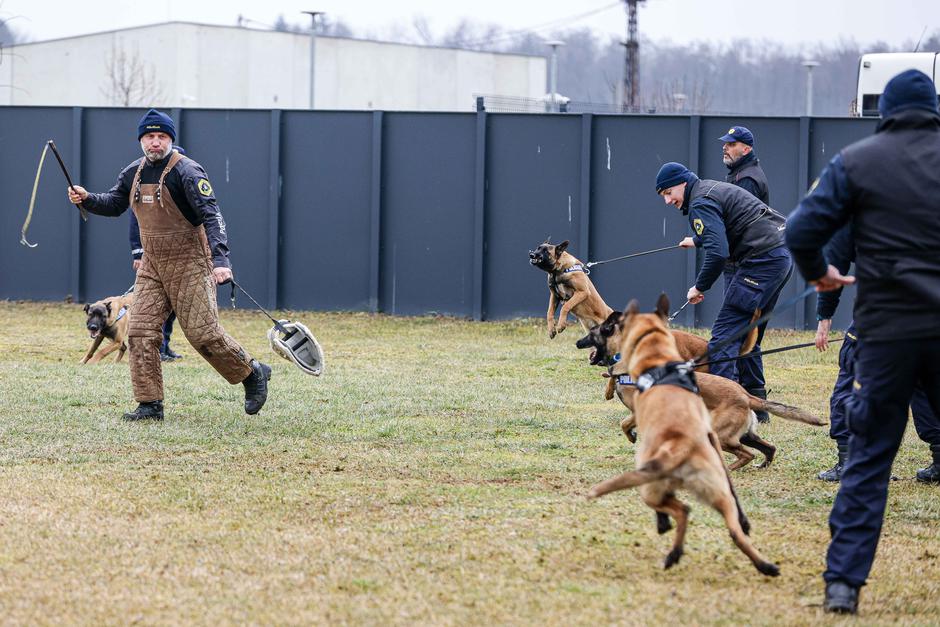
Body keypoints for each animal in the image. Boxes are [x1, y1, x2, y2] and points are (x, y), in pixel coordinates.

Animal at [572, 306, 824, 468]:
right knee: (768, 448)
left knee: (747, 455)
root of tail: (746, 395)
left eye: (591, 333)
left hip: (722, 435)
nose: (576, 342)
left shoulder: (638, 410)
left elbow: (624, 423)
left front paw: (632, 437)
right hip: (744, 434)